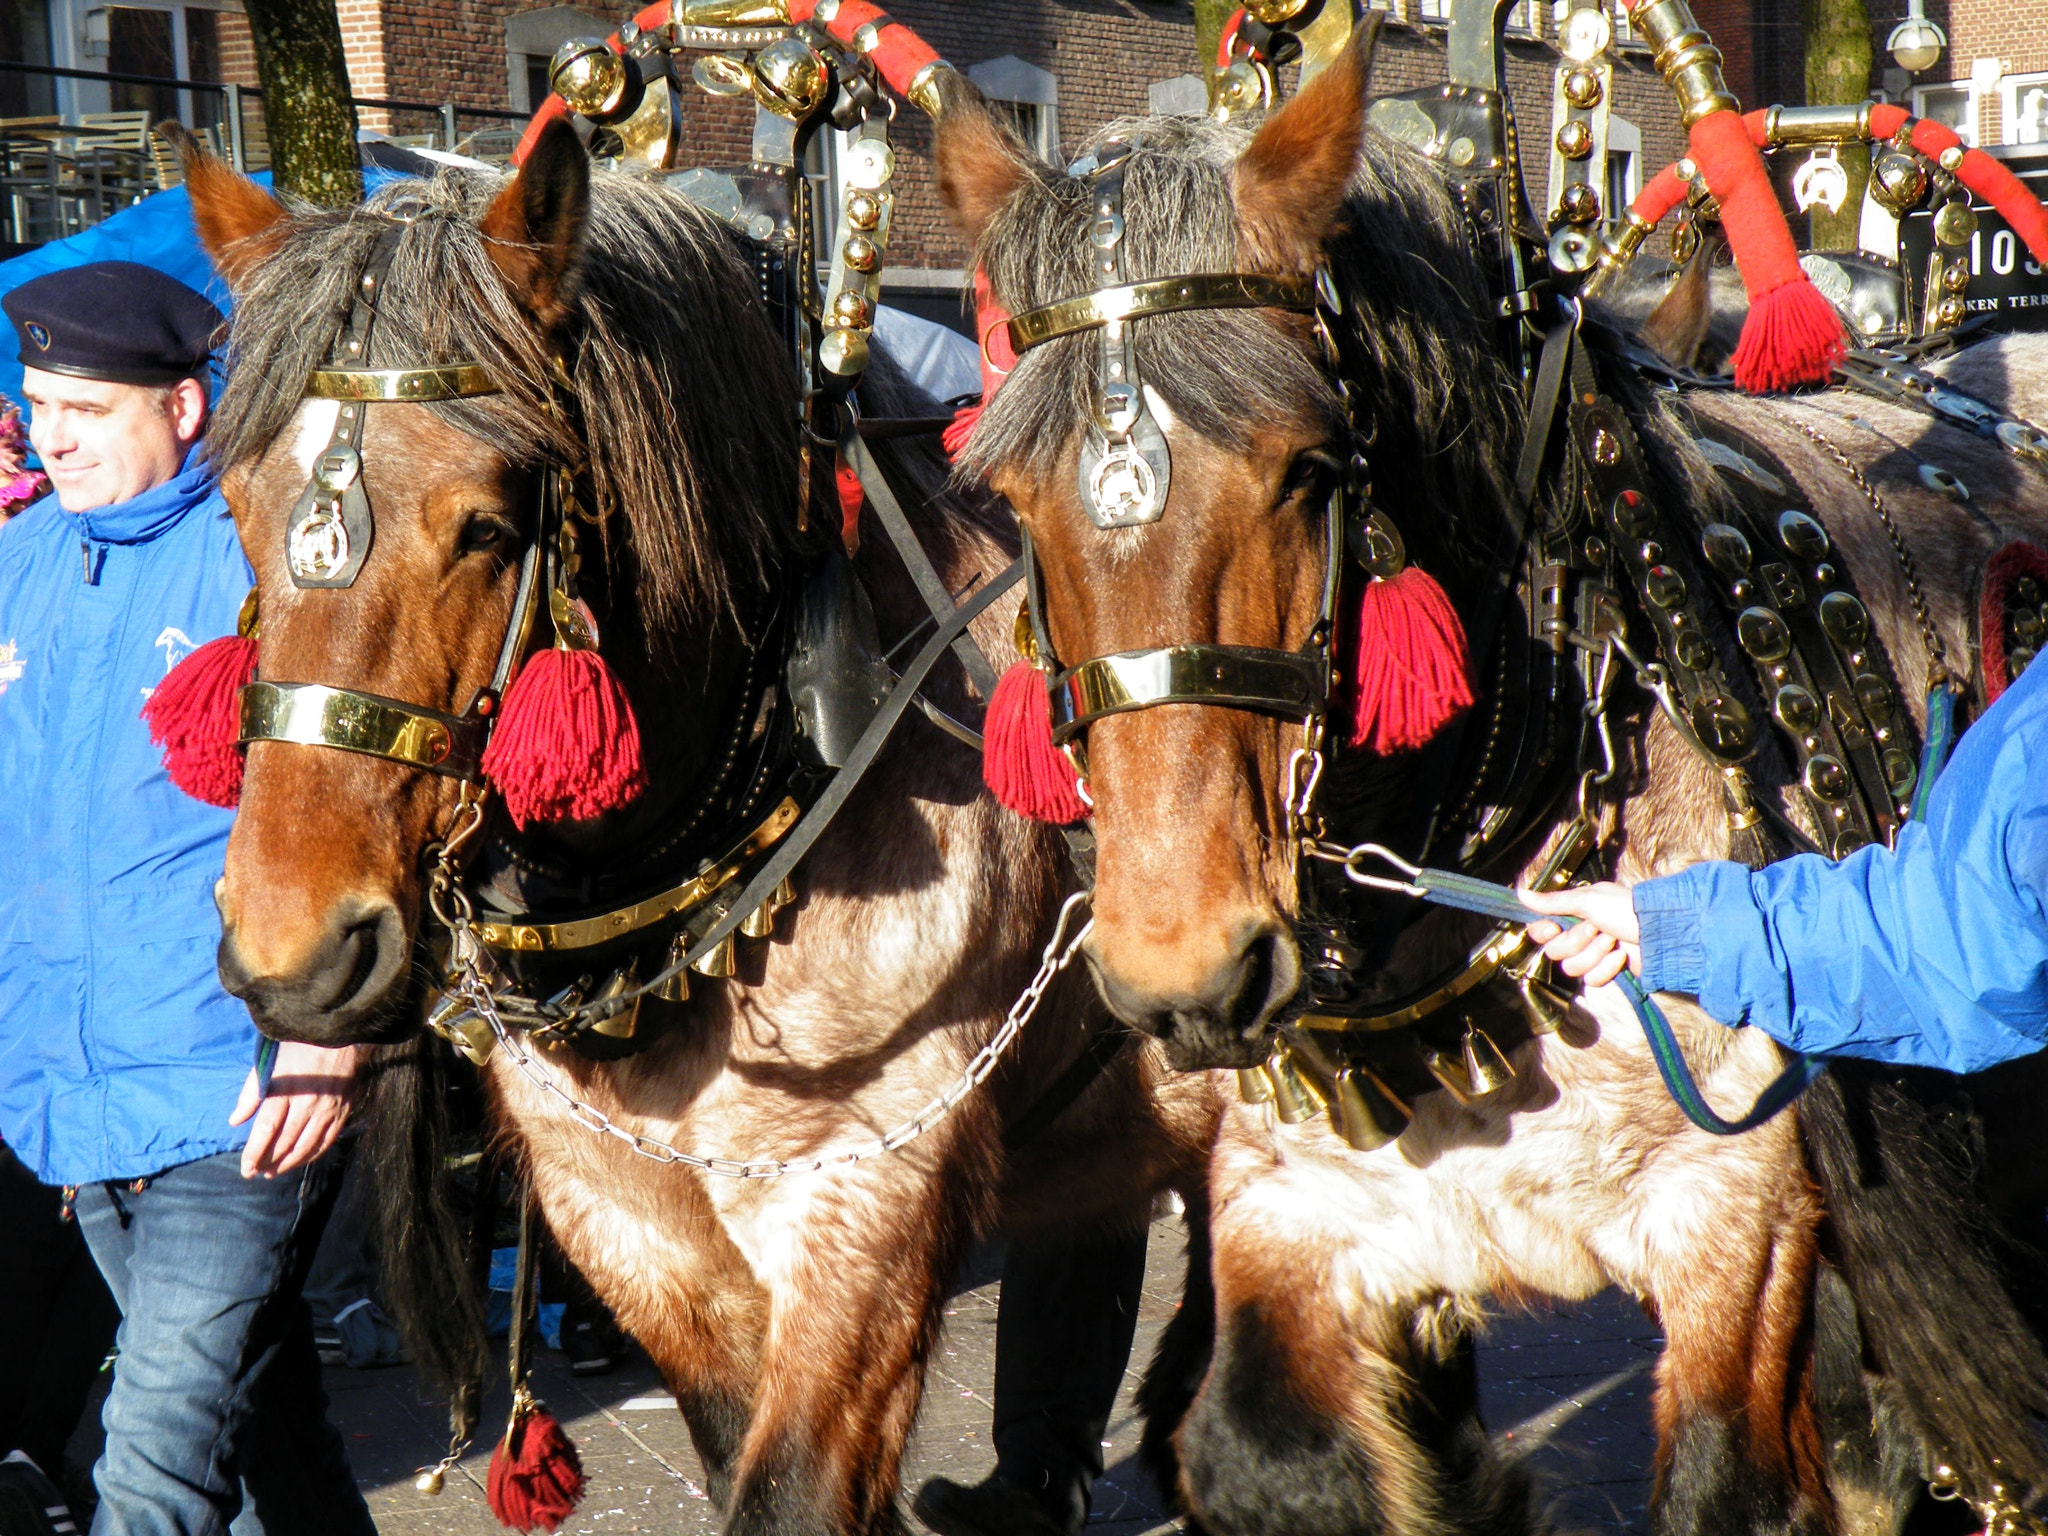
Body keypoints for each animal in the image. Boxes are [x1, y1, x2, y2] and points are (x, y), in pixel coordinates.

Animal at [180, 135, 1212, 1536]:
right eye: (234, 509)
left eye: (487, 524)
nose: (297, 956)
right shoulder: (629, 1226)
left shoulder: (863, 1215)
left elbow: (789, 1493)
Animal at [937, 33, 2048, 1536]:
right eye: (1010, 499)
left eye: (1308, 469)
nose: (1184, 978)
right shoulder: (1298, 1215)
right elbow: (1260, 1449)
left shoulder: (1739, 1224)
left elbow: (1729, 1479)